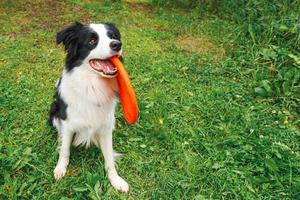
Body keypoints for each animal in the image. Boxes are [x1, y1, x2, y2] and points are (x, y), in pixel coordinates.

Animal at [48, 21, 128, 192]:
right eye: (92, 41)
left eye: (112, 36)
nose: (117, 44)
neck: (92, 86)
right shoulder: (68, 123)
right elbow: (65, 150)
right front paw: (60, 169)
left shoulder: (106, 127)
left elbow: (109, 158)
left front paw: (116, 180)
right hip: (54, 110)